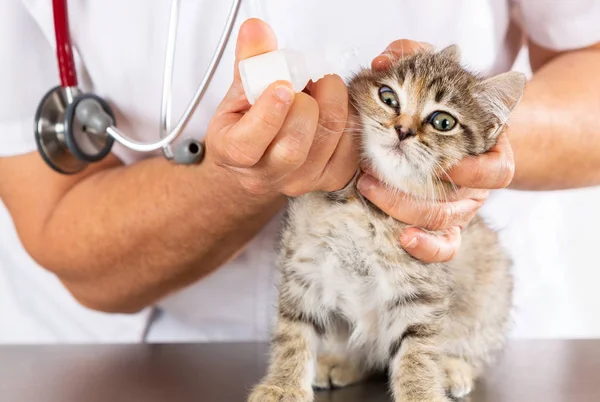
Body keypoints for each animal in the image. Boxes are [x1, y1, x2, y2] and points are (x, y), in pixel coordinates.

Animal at [248, 44, 524, 402]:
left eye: (443, 122)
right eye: (388, 97)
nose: (403, 129)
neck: (362, 208)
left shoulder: (421, 287)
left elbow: (417, 352)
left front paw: (422, 394)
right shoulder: (302, 265)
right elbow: (293, 332)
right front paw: (282, 385)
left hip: (492, 290)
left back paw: (453, 369)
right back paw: (340, 362)